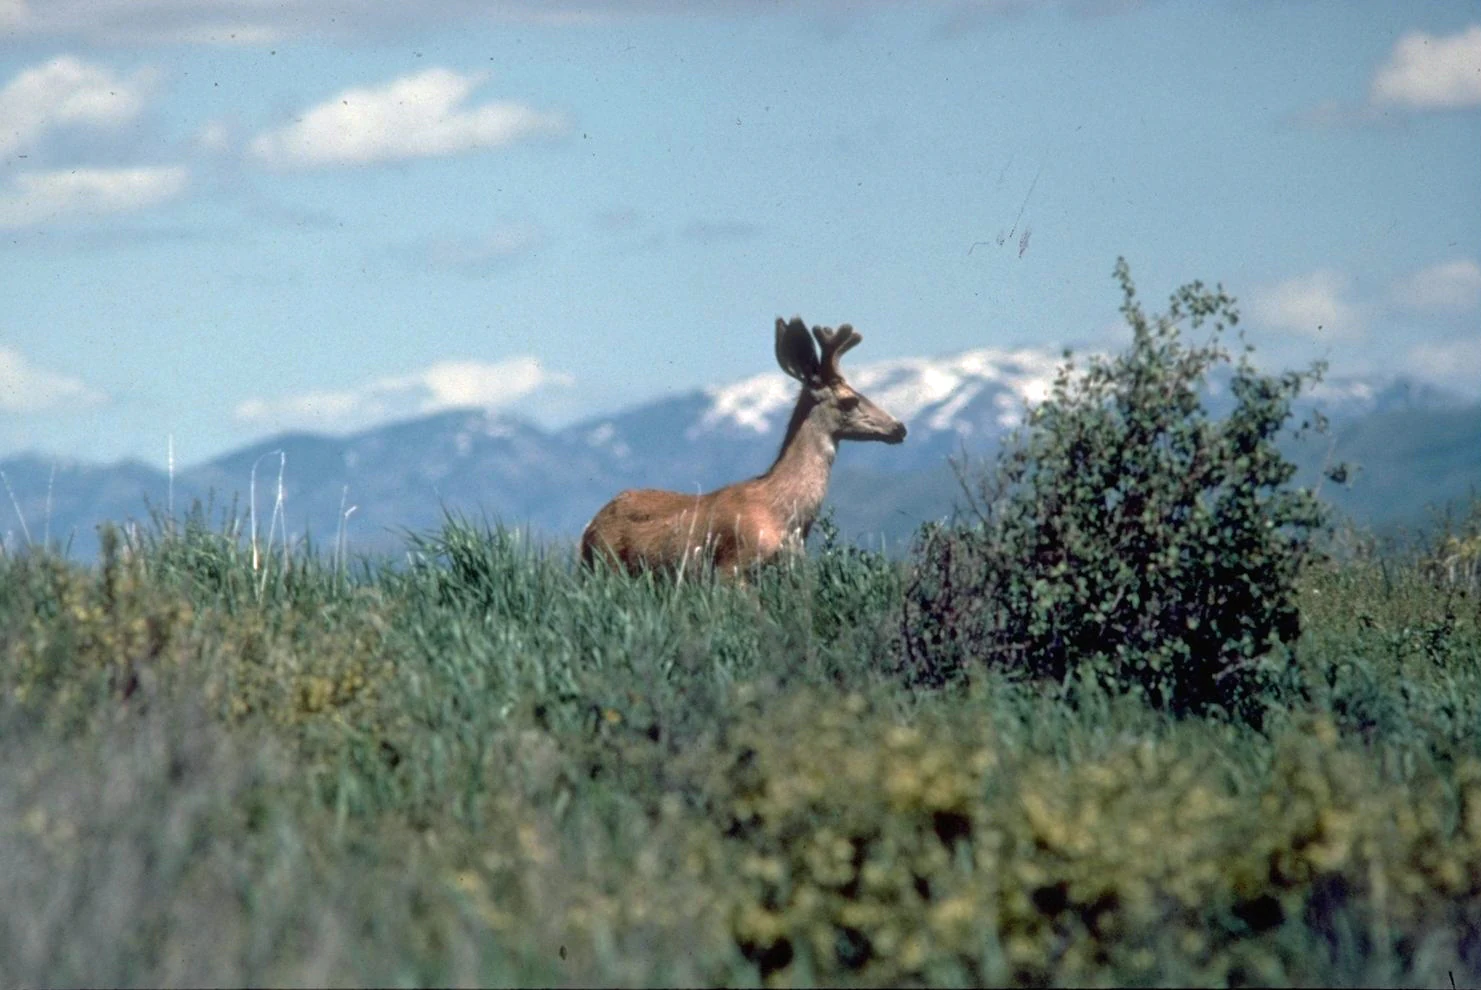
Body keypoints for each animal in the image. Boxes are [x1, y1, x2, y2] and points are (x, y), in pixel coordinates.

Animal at [580, 316, 907, 580]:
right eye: (850, 400)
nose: (899, 428)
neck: (781, 512)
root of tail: (589, 529)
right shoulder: (733, 564)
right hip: (608, 565)